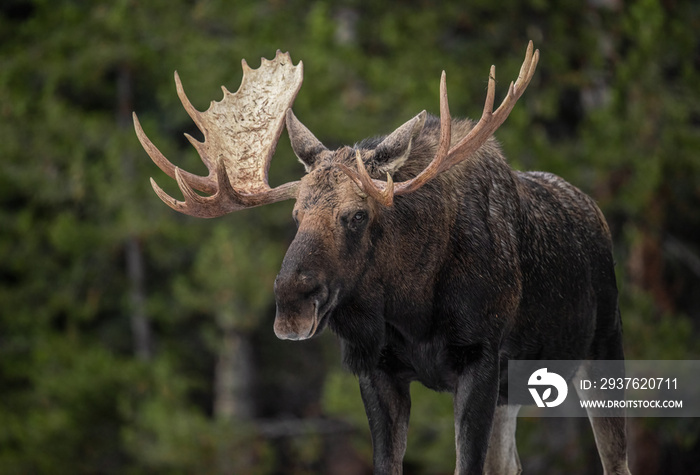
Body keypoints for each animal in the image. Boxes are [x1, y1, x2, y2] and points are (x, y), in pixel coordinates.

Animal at [134, 42, 632, 474]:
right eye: (296, 214)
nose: (292, 303)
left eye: (357, 214)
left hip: (602, 348)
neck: (413, 308)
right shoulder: (377, 369)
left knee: (616, 460)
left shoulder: (481, 357)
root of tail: (597, 215)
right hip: (517, 387)